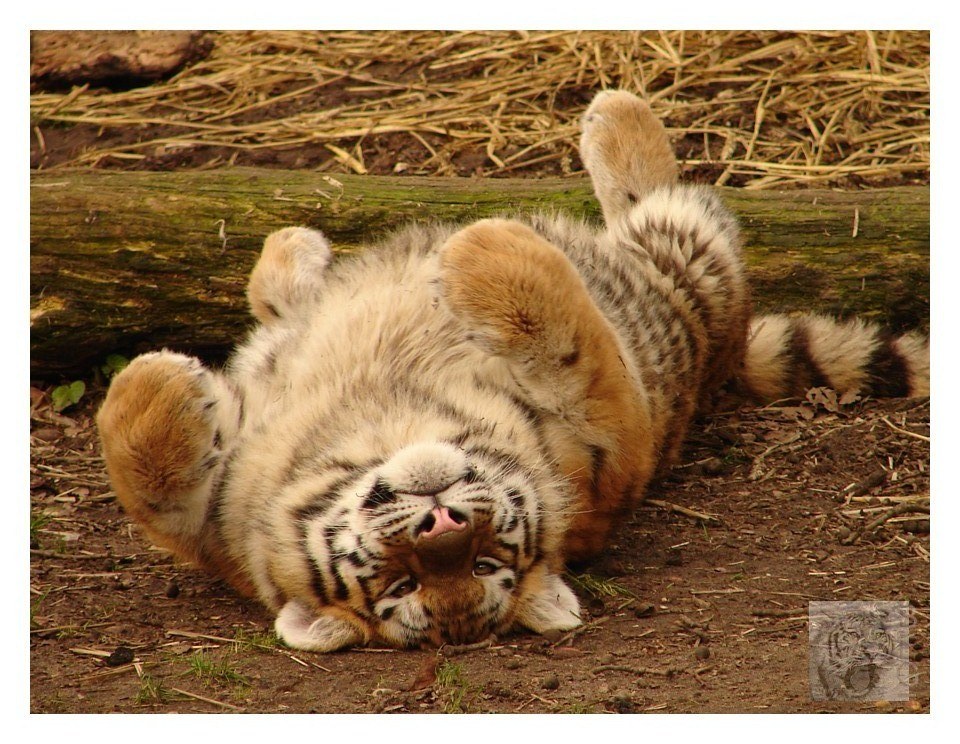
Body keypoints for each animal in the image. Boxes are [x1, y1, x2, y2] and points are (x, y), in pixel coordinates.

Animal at [96, 89, 929, 652]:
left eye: (487, 559)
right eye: (404, 583)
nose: (441, 523)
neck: (384, 419)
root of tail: (721, 360)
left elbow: (141, 471)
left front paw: (156, 382)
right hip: (689, 262)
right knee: (665, 199)